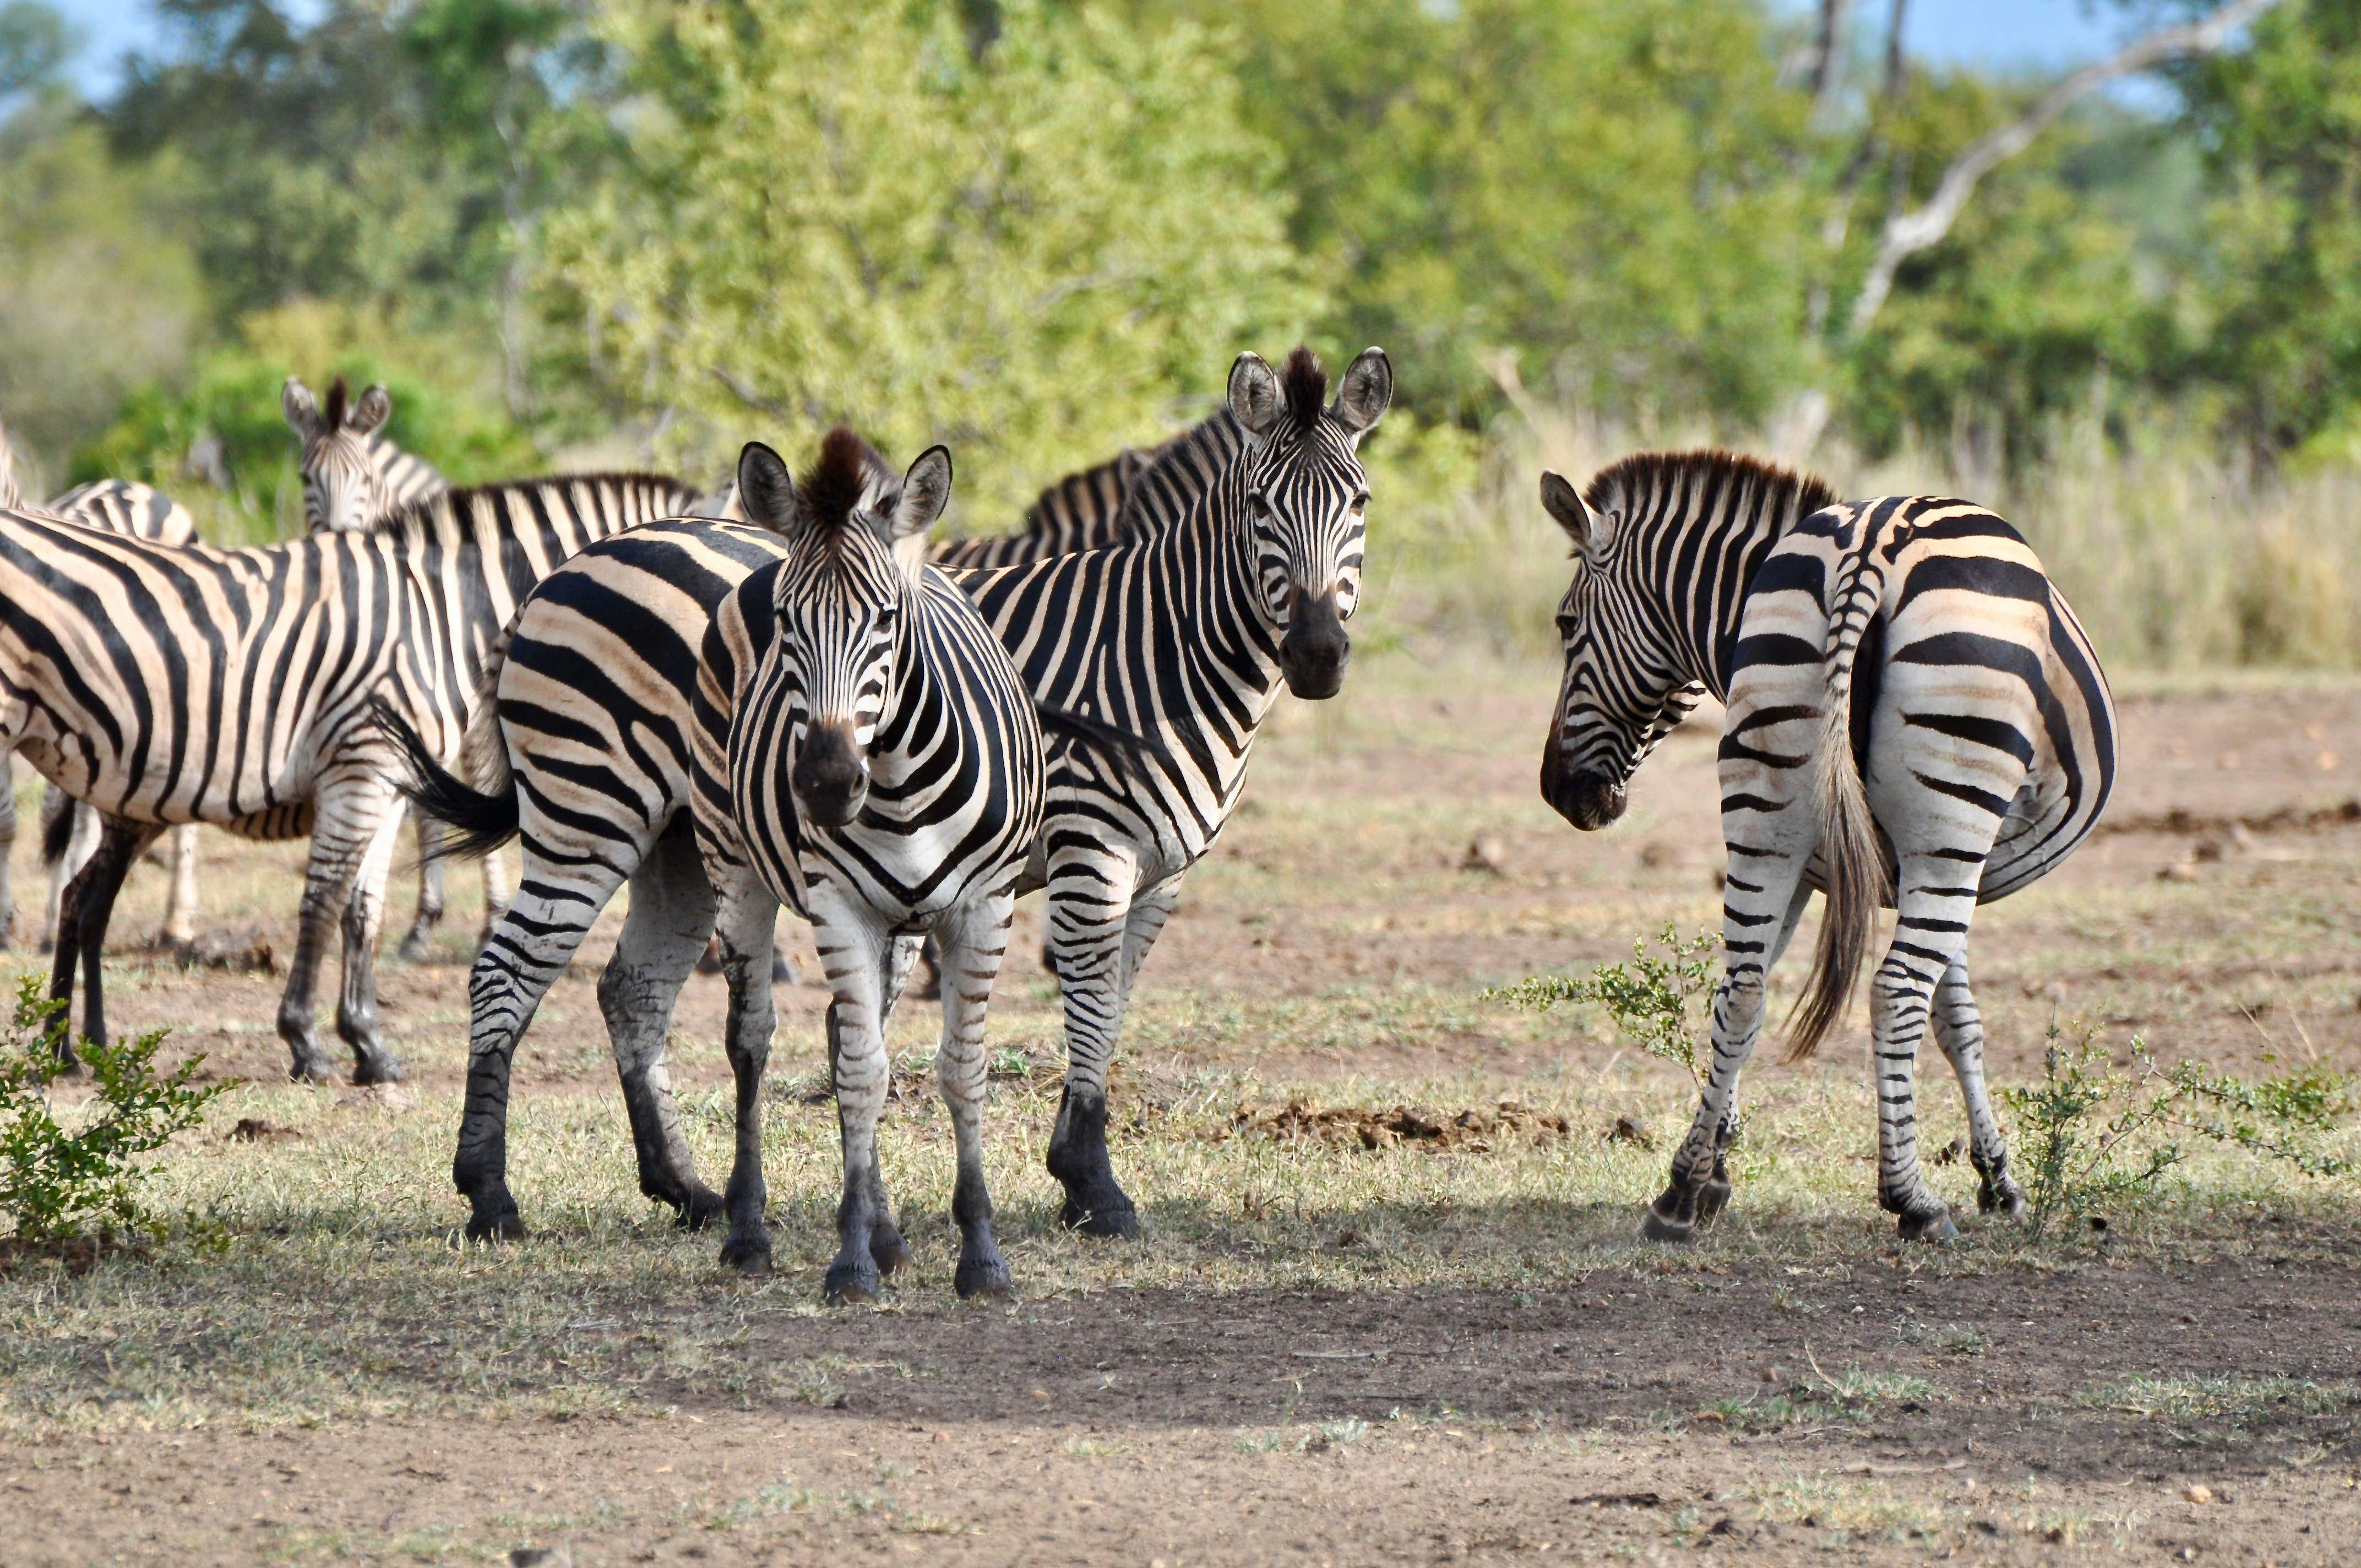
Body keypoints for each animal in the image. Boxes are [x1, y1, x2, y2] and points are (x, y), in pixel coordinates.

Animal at [2, 471, 699, 1080]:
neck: (444, 611)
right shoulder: (361, 766)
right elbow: (323, 902)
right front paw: (306, 1043)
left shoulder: (386, 782)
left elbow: (364, 910)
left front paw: (368, 1043)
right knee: (84, 896)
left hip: (141, 798)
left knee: (84, 901)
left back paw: (76, 1048)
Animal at [386, 344, 1385, 1241]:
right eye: (1260, 506)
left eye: (1359, 503)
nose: (1317, 656)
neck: (1152, 645)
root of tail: (576, 560)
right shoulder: (1089, 849)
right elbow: (1089, 1002)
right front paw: (1092, 1185)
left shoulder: (1160, 871)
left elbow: (1110, 1007)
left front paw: (1075, 1173)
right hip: (588, 809)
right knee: (507, 969)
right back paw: (491, 1197)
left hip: (680, 840)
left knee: (632, 988)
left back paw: (686, 1190)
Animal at [1534, 450, 2116, 1241]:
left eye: (1566, 623)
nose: (1556, 792)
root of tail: (1874, 544)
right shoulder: (1933, 862)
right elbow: (1956, 1019)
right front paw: (1998, 1180)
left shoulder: (1816, 866)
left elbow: (1766, 1002)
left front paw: (1713, 1164)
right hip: (1951, 819)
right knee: (1894, 992)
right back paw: (1912, 1201)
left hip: (1772, 794)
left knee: (1742, 988)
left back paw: (1678, 1196)